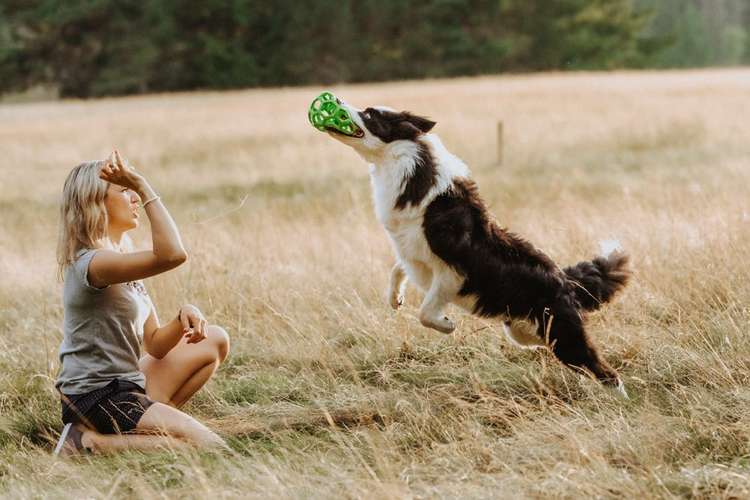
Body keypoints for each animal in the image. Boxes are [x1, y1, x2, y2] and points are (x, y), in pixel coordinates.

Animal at [324, 96, 636, 394]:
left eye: (370, 114)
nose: (336, 100)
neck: (406, 163)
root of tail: (566, 280)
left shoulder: (452, 273)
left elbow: (425, 313)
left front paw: (446, 325)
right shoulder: (412, 252)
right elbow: (397, 269)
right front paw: (394, 298)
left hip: (563, 337)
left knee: (605, 371)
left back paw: (618, 401)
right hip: (525, 332)